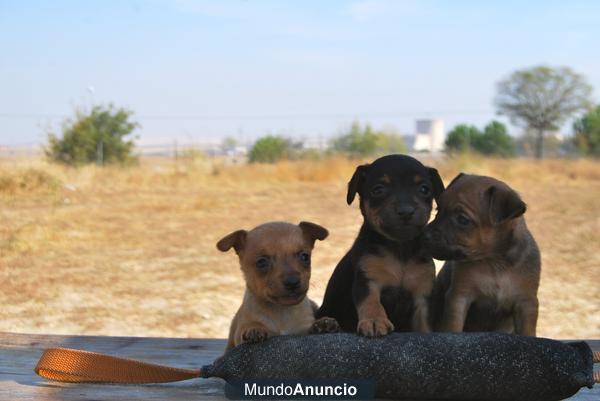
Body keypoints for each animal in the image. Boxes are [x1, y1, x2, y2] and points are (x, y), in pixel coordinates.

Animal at [217, 222, 340, 350]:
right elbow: (249, 327)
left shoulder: (302, 328)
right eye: (261, 262)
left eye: (305, 257)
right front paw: (254, 329)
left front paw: (323, 324)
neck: (282, 311)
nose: (292, 281)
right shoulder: (240, 332)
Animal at [316, 155, 442, 336]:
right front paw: (375, 321)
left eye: (424, 189)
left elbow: (425, 323)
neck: (400, 247)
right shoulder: (367, 280)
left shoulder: (423, 293)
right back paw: (325, 324)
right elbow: (371, 302)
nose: (406, 211)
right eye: (378, 190)